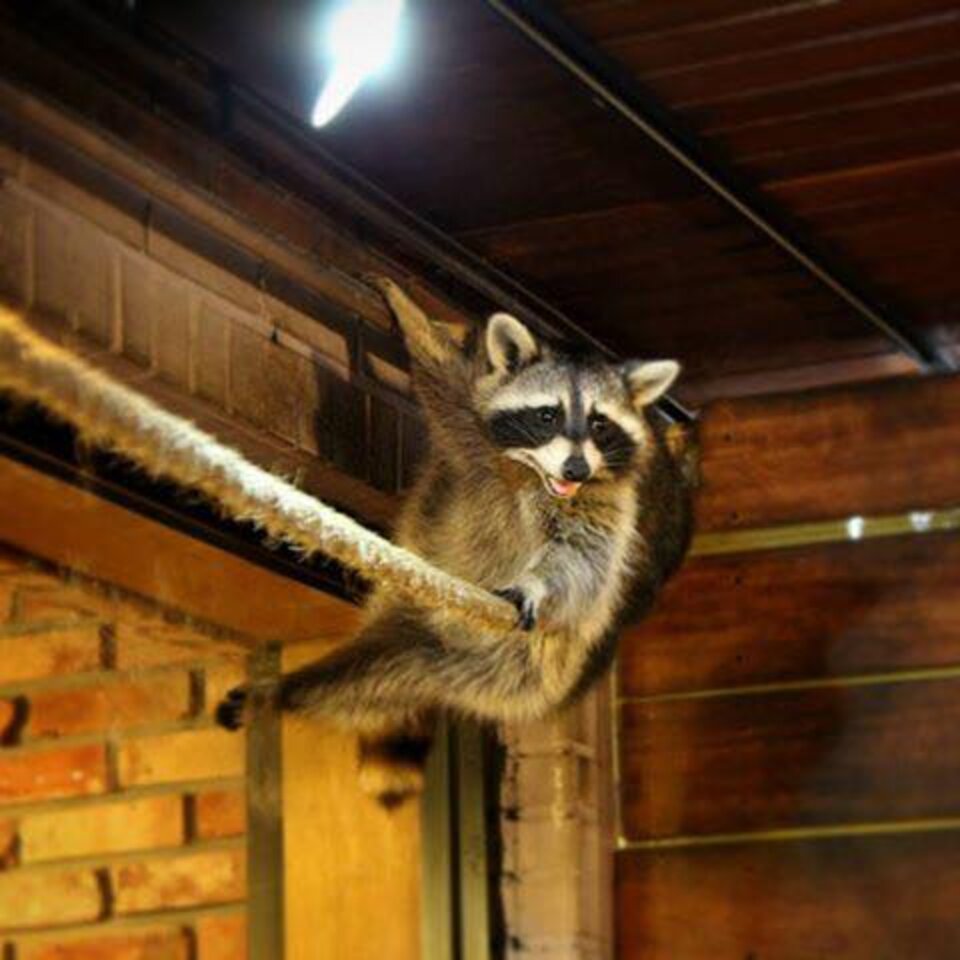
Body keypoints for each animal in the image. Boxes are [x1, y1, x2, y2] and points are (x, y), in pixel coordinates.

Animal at [217, 279, 696, 806]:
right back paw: (283, 694)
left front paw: (536, 582)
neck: (530, 472)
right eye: (547, 415)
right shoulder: (476, 430)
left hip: (497, 668)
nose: (575, 469)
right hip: (416, 637)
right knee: (345, 682)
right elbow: (446, 387)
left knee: (362, 688)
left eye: (599, 423)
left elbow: (581, 560)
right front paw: (410, 315)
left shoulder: (607, 504)